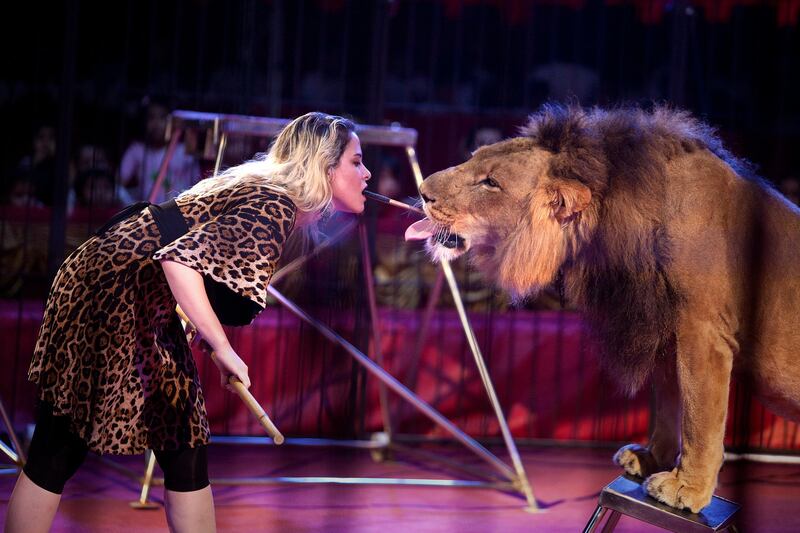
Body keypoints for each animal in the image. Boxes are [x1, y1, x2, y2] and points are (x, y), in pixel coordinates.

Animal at [410, 104, 800, 512]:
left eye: (490, 183)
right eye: (473, 157)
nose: (422, 191)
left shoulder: (704, 332)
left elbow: (700, 417)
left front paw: (687, 487)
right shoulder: (663, 326)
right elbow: (668, 404)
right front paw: (650, 458)